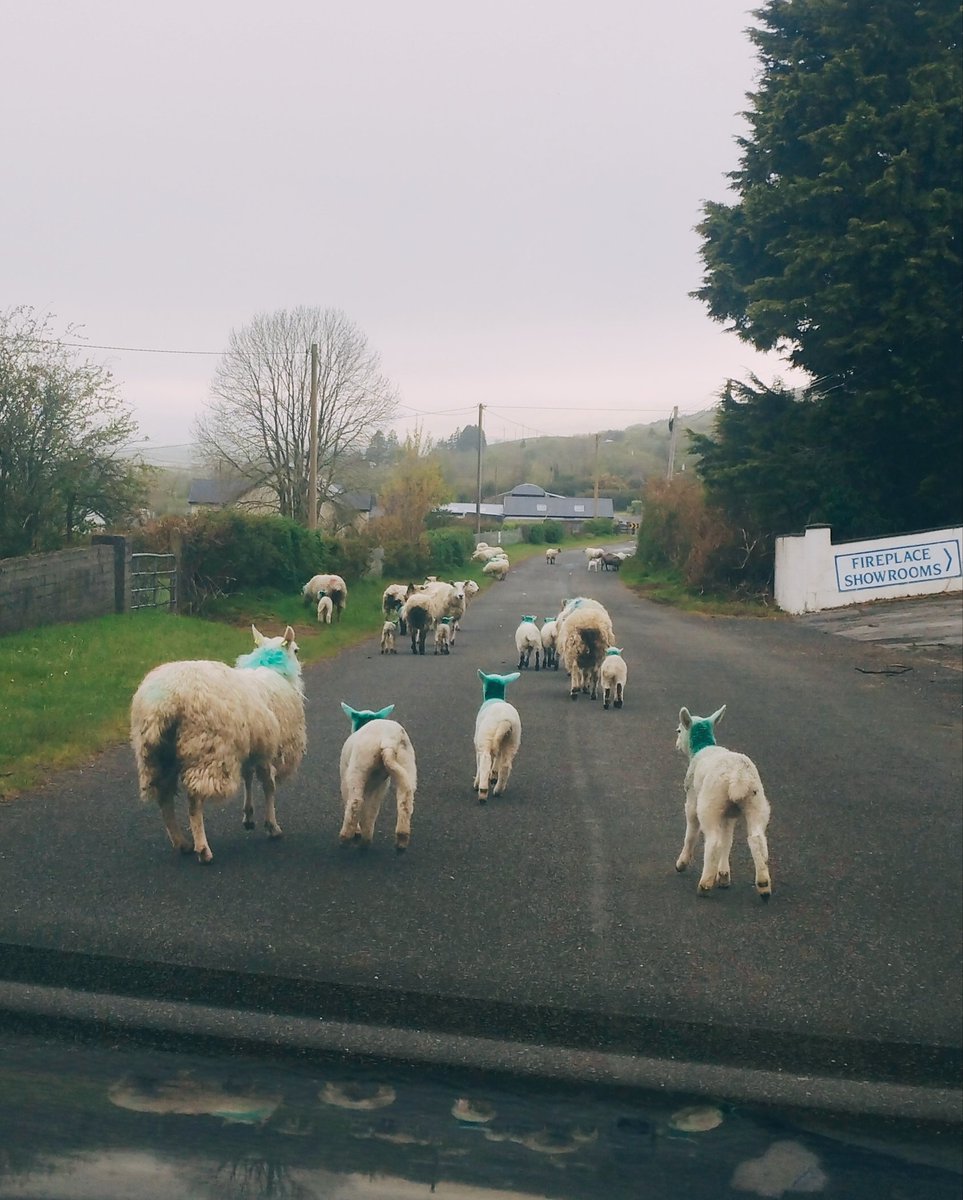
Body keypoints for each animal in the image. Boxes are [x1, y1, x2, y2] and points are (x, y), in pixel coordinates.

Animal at [129, 628, 303, 864]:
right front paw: (272, 826)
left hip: (156, 755)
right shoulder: (267, 749)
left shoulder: (250, 746)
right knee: (194, 803)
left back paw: (182, 843)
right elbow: (269, 785)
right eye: (296, 649)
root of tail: (165, 701)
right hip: (206, 751)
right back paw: (203, 849)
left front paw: (249, 816)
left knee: (164, 799)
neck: (272, 669)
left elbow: (248, 777)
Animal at [336, 700, 415, 849]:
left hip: (359, 765)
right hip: (407, 762)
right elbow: (370, 806)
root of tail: (388, 740)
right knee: (404, 798)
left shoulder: (345, 775)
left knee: (355, 802)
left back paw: (345, 839)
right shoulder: (379, 782)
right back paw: (400, 839)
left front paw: (357, 831)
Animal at [470, 672, 518, 801]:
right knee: (505, 765)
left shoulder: (478, 743)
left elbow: (479, 762)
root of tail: (505, 721)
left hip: (486, 738)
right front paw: (494, 775)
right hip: (512, 740)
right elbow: (498, 759)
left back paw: (482, 791)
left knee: (485, 761)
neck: (494, 697)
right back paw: (498, 790)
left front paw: (478, 782)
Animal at [677, 700, 773, 902]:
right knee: (757, 839)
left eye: (679, 731)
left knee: (713, 842)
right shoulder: (729, 815)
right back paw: (763, 884)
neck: (702, 747)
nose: (676, 744)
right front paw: (723, 875)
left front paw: (682, 863)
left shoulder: (692, 802)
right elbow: (728, 839)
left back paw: (704, 885)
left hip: (709, 804)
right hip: (756, 802)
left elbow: (691, 833)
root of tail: (739, 776)